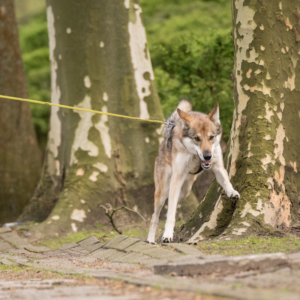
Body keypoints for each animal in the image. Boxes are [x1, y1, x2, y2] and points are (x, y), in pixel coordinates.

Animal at [146, 99, 240, 244]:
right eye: (197, 138)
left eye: (211, 137)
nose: (207, 156)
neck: (195, 156)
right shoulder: (177, 178)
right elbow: (170, 214)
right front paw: (167, 235)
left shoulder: (217, 165)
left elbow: (225, 180)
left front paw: (232, 192)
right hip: (163, 191)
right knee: (155, 216)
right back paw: (150, 240)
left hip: (185, 190)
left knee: (171, 204)